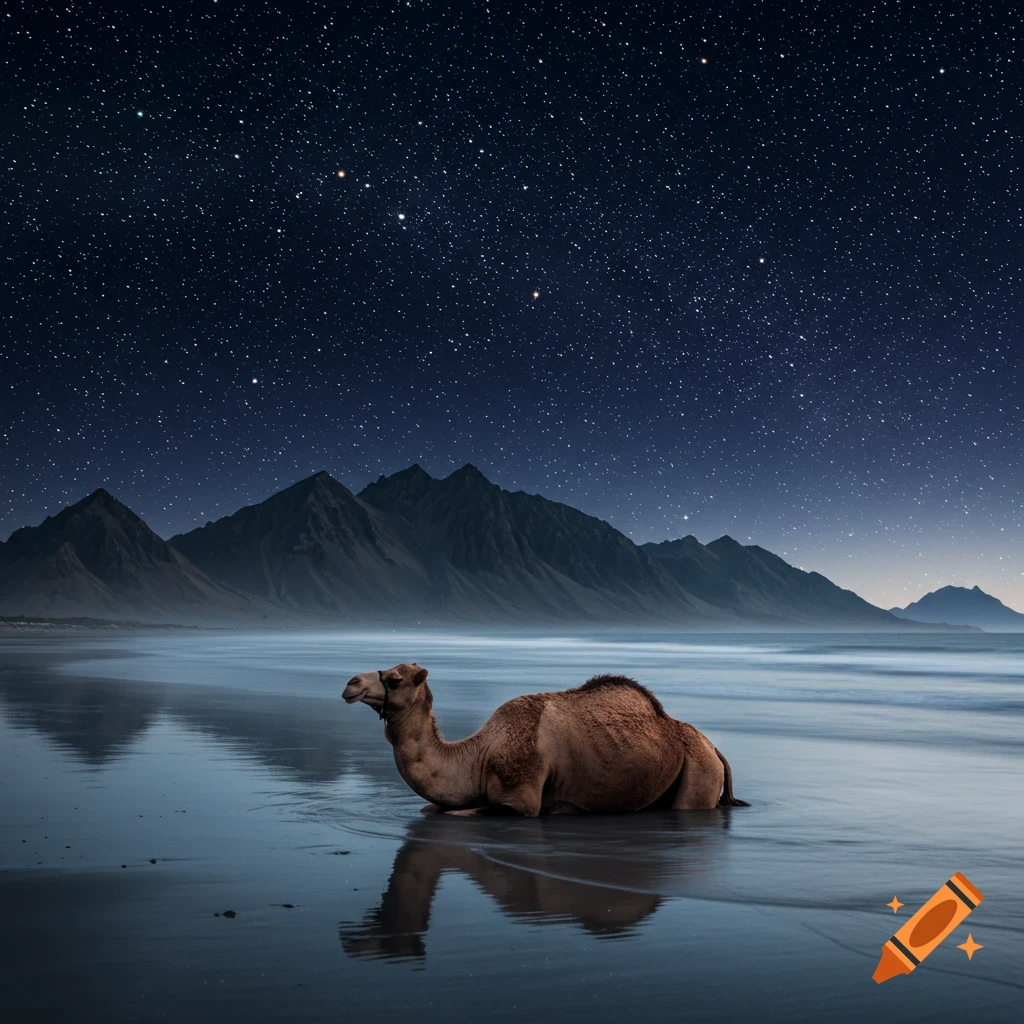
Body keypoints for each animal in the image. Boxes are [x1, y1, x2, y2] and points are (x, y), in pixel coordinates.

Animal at [342, 663, 748, 816]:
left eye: (395, 678)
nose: (351, 683)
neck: (479, 754)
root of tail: (715, 748)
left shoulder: (521, 797)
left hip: (699, 772)